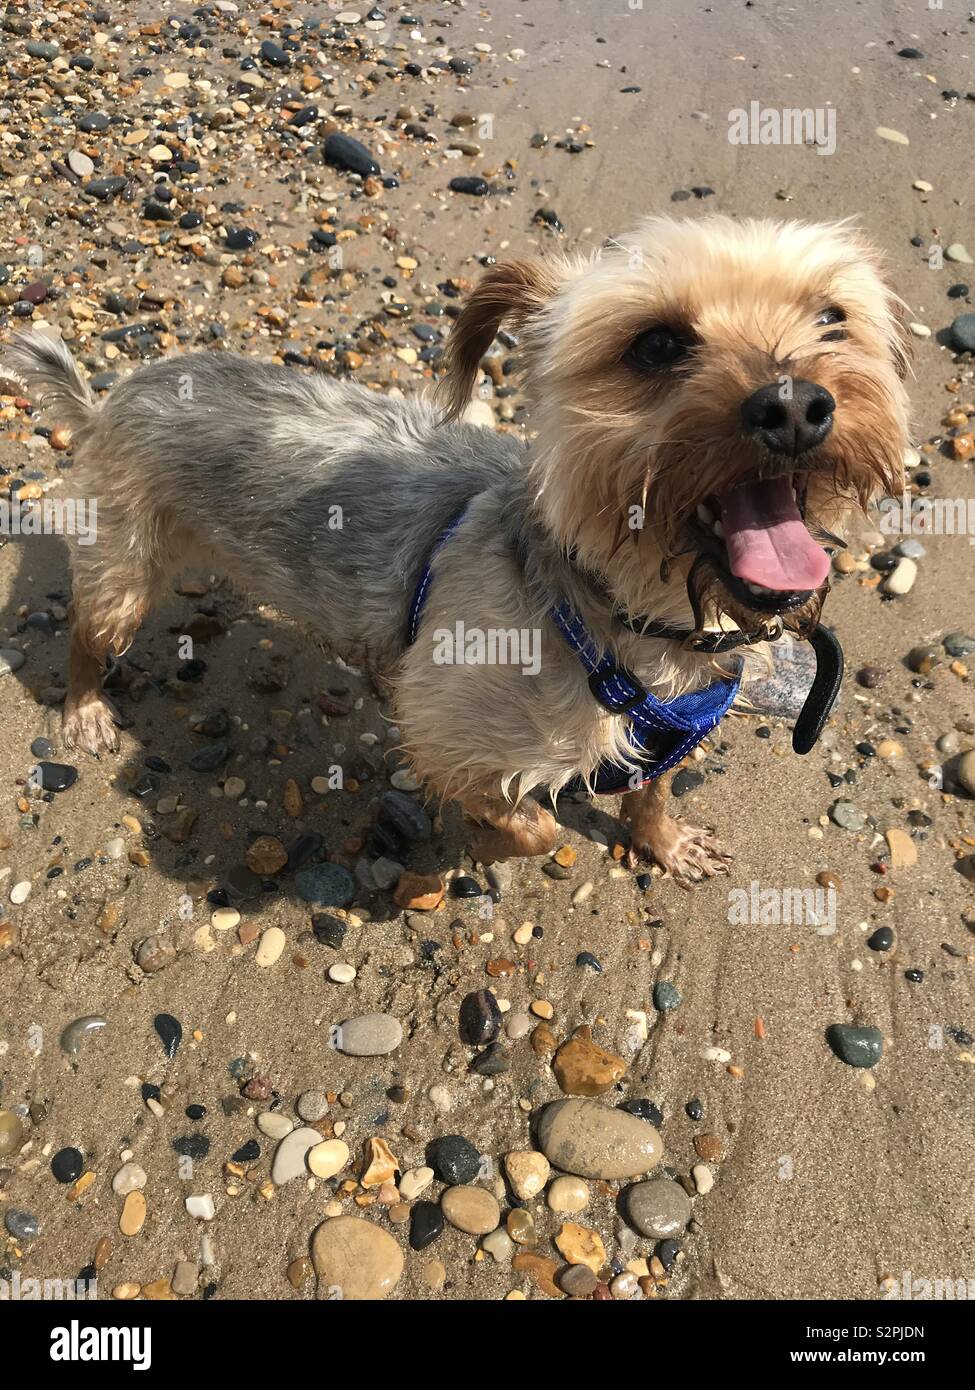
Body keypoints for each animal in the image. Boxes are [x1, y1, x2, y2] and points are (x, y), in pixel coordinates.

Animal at [3, 219, 906, 889]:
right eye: (653, 345)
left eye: (832, 318)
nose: (794, 404)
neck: (628, 621)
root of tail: (110, 396)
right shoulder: (451, 738)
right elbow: (532, 826)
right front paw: (476, 849)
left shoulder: (671, 730)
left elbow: (645, 796)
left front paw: (663, 842)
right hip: (123, 562)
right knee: (89, 631)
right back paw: (84, 709)